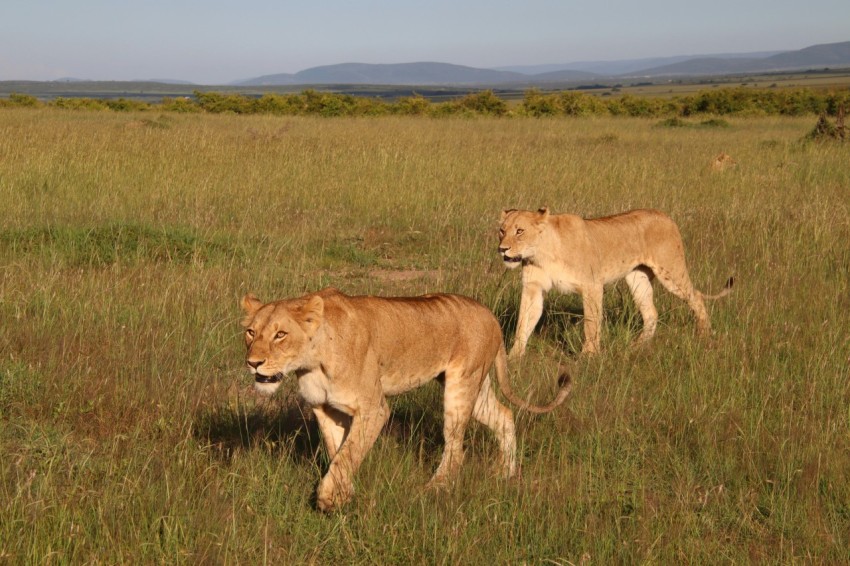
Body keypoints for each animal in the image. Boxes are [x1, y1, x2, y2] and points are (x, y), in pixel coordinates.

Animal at [240, 288, 571, 512]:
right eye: (251, 332)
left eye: (280, 334)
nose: (253, 363)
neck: (311, 362)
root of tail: (490, 314)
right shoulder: (325, 408)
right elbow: (338, 452)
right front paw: (343, 496)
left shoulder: (373, 408)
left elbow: (348, 454)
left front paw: (328, 498)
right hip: (475, 387)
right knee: (504, 415)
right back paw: (506, 473)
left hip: (460, 387)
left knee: (456, 447)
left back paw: (435, 488)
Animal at [498, 207, 733, 356]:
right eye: (502, 230)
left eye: (520, 231)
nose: (502, 249)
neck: (542, 252)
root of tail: (665, 216)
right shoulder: (533, 288)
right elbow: (524, 323)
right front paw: (514, 358)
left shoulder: (592, 285)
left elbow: (591, 324)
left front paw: (589, 356)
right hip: (638, 278)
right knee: (651, 313)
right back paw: (637, 347)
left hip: (671, 272)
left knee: (696, 297)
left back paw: (704, 335)